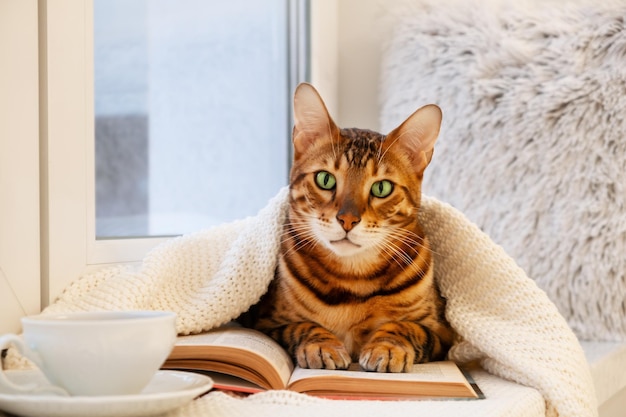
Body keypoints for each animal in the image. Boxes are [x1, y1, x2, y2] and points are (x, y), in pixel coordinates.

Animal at [251, 83, 450, 372]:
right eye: (325, 179)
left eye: (382, 187)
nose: (347, 220)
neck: (353, 280)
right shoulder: (265, 323)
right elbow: (300, 326)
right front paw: (322, 344)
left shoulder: (443, 333)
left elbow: (406, 326)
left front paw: (387, 347)